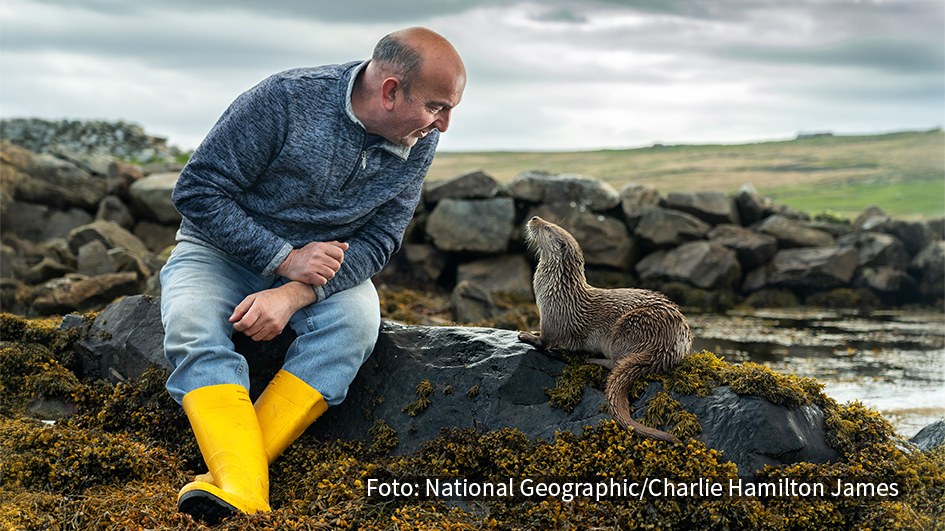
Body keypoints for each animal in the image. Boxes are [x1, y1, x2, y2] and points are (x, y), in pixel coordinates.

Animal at [518, 216, 692, 443]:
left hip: (629, 327)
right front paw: (533, 331)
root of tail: (671, 347)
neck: (557, 289)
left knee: (616, 362)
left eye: (548, 227)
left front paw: (527, 335)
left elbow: (546, 341)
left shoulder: (554, 317)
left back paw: (593, 359)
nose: (534, 218)